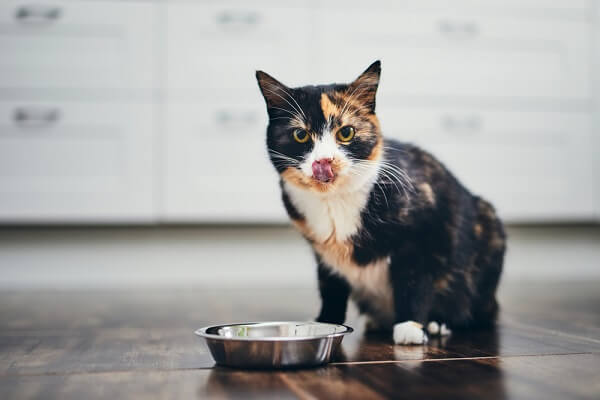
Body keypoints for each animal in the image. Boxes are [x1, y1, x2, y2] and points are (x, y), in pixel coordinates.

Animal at [255, 61, 504, 346]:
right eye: (300, 134)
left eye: (346, 132)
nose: (324, 161)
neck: (335, 201)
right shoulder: (324, 254)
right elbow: (330, 286)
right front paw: (325, 322)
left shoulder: (424, 229)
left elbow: (414, 278)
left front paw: (410, 326)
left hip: (487, 227)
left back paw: (439, 322)